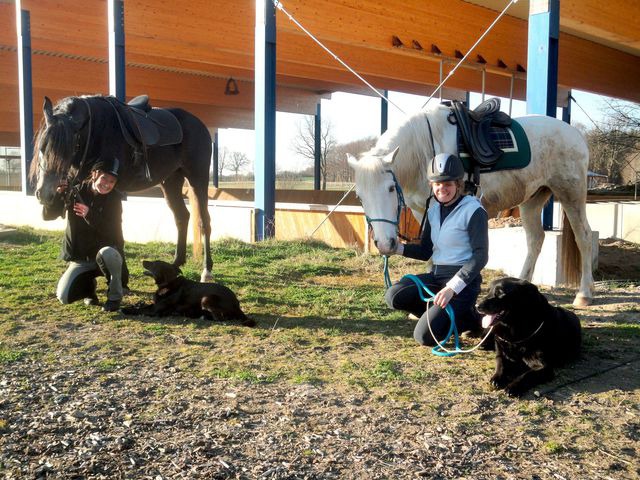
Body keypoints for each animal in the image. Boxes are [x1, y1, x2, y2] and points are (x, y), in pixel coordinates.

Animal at [29, 94, 215, 280]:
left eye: (68, 149)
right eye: (42, 147)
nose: (44, 194)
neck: (97, 132)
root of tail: (199, 124)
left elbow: (116, 230)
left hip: (198, 178)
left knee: (204, 221)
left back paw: (206, 270)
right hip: (171, 181)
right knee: (181, 217)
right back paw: (175, 264)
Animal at [122, 260, 255, 328]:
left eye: (154, 263)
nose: (143, 260)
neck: (168, 282)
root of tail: (237, 305)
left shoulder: (155, 311)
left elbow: (139, 310)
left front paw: (126, 309)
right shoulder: (155, 305)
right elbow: (142, 306)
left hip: (206, 298)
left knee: (220, 319)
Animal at [350, 104, 596, 308]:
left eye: (391, 188)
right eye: (360, 197)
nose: (385, 244)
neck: (425, 152)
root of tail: (575, 134)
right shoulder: (424, 211)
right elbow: (431, 251)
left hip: (570, 193)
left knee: (584, 237)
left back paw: (584, 294)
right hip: (532, 200)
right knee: (535, 239)